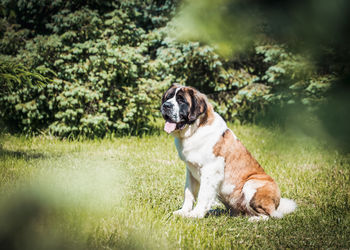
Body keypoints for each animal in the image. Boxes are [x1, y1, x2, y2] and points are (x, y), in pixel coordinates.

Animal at [161, 84, 296, 221]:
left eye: (181, 100)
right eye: (167, 97)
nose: (166, 106)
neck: (195, 130)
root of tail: (277, 205)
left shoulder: (211, 169)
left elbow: (203, 194)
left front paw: (195, 214)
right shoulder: (191, 171)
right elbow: (188, 193)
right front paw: (183, 212)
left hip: (251, 183)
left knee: (271, 215)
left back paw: (255, 219)